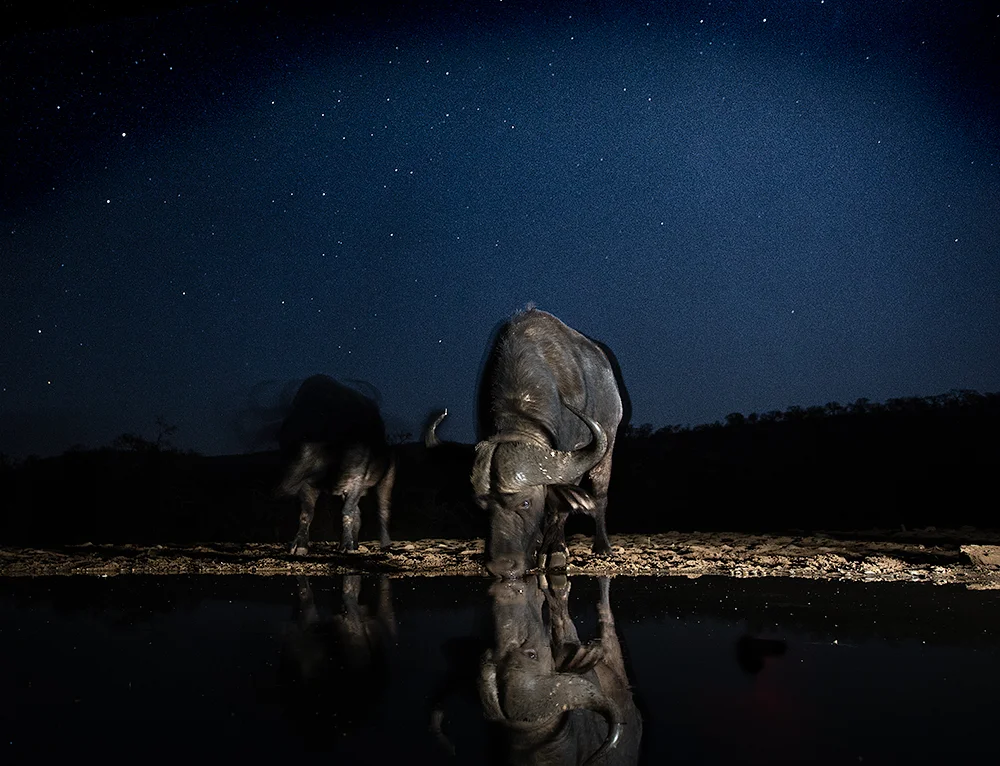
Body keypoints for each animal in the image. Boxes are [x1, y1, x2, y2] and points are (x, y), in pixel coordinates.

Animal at [277, 374, 395, 555]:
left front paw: (346, 547)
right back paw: (354, 544)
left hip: (386, 480)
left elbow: (346, 512)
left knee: (383, 509)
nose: (285, 487)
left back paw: (385, 544)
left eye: (319, 445)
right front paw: (299, 547)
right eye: (290, 444)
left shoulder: (357, 480)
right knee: (358, 513)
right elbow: (306, 513)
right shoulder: (307, 485)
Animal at [431, 308, 624, 579]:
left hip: (608, 444)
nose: (501, 567)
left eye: (525, 502)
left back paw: (601, 545)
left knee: (600, 493)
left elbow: (559, 508)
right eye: (481, 505)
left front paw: (554, 552)